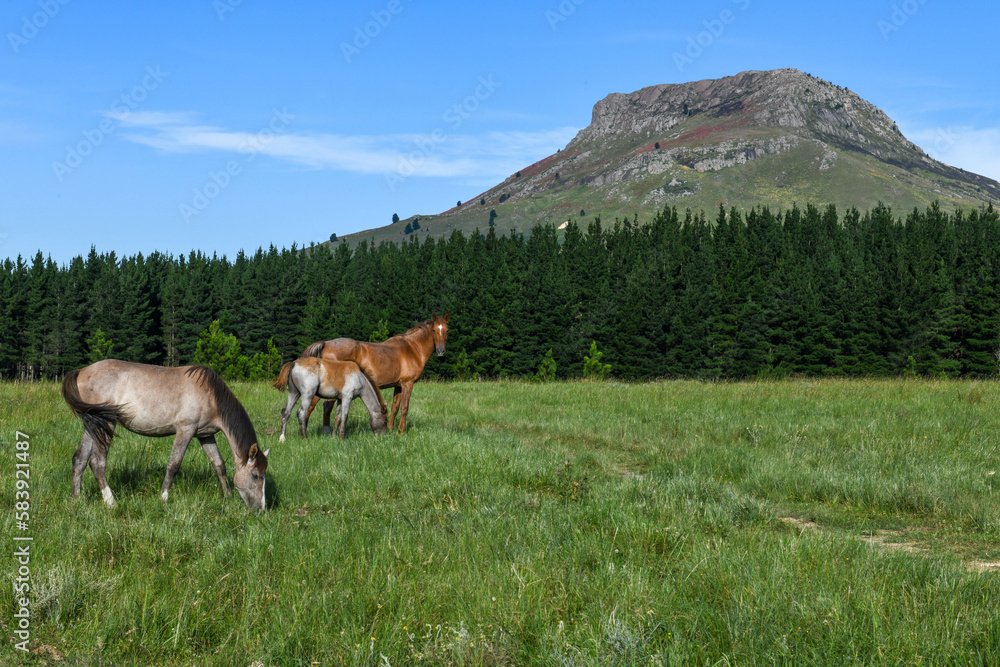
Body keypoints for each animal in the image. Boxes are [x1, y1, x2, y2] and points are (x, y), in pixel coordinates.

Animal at [61, 360, 269, 511]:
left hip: (92, 425)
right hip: (107, 423)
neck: (210, 395)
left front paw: (228, 497)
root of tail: (82, 371)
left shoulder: (205, 435)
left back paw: (75, 500)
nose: (261, 508)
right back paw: (111, 502)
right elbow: (173, 465)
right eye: (255, 475)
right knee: (97, 462)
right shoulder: (186, 430)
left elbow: (219, 465)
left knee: (79, 459)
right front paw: (163, 498)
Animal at [300, 313, 449, 434]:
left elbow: (395, 407)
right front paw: (401, 431)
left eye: (447, 330)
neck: (412, 348)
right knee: (326, 406)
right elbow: (405, 407)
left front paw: (390, 429)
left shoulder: (398, 385)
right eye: (434, 330)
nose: (441, 351)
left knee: (311, 405)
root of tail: (326, 343)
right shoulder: (408, 383)